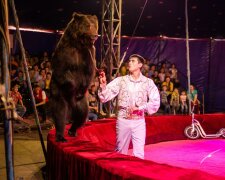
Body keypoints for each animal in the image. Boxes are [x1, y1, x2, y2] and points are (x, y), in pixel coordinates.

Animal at [51, 12, 98, 142]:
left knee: (82, 113)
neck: (79, 44)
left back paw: (73, 130)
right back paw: (60, 135)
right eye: (88, 25)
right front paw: (71, 85)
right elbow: (62, 70)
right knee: (59, 112)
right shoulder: (65, 52)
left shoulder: (89, 53)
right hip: (59, 94)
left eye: (95, 25)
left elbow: (89, 71)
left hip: (82, 101)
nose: (95, 35)